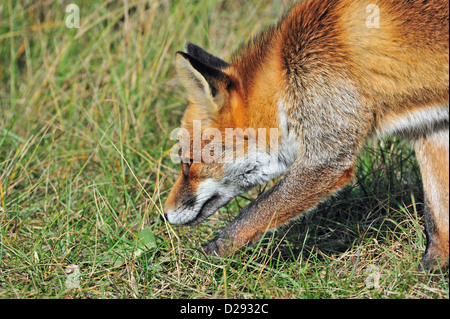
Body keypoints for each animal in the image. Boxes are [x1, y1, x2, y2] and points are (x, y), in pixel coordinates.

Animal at [163, 0, 448, 272]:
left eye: (188, 163)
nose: (164, 214)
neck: (287, 72)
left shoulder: (327, 156)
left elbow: (253, 211)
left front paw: (204, 258)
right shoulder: (431, 128)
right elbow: (437, 213)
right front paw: (433, 268)